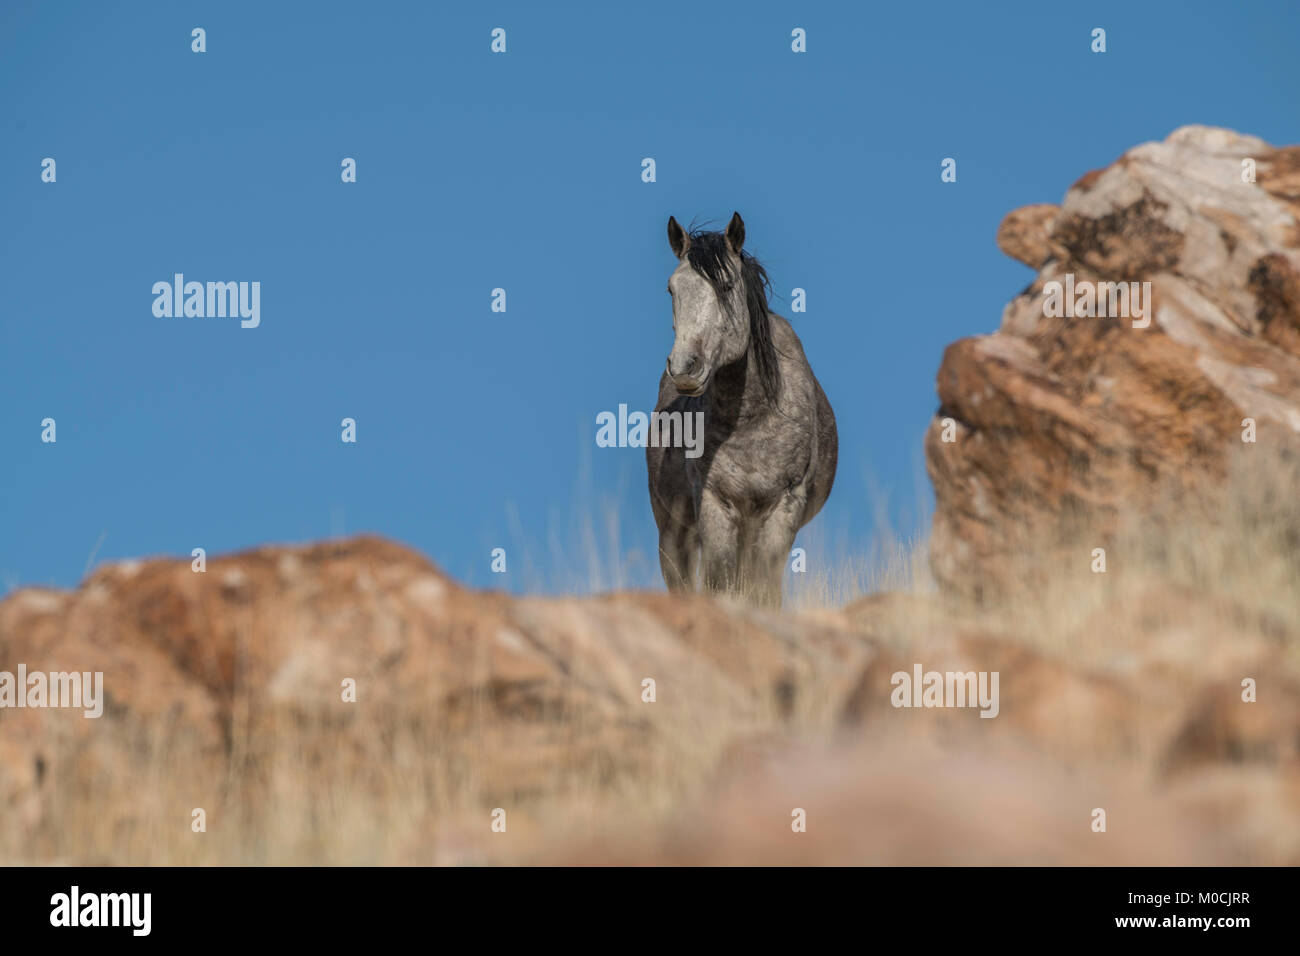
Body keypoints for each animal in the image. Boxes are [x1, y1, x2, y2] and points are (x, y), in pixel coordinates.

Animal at [646, 212, 837, 607]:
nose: (684, 368)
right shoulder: (714, 505)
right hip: (672, 533)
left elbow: (764, 590)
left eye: (728, 284)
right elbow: (719, 583)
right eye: (672, 289)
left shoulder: (783, 507)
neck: (752, 419)